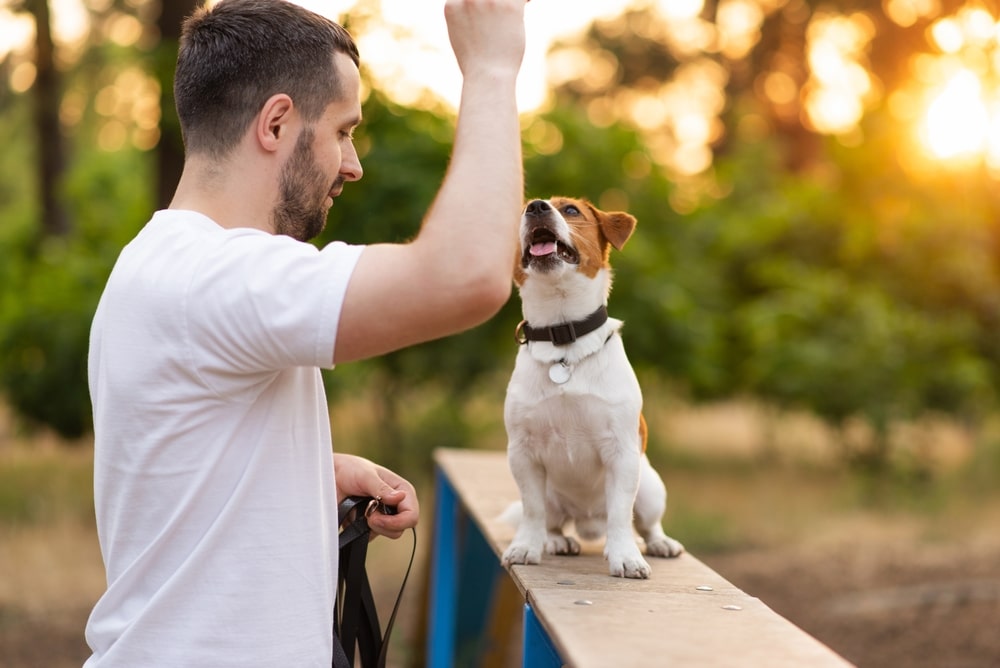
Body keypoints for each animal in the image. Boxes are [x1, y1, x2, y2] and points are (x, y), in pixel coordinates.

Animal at [504, 196, 684, 576]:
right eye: (522, 211)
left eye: (571, 210)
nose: (536, 207)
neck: (563, 337)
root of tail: (587, 521)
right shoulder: (523, 454)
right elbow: (532, 510)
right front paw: (526, 546)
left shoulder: (622, 453)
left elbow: (620, 515)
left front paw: (625, 556)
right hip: (554, 496)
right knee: (552, 521)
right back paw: (556, 541)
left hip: (650, 487)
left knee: (644, 523)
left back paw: (660, 543)